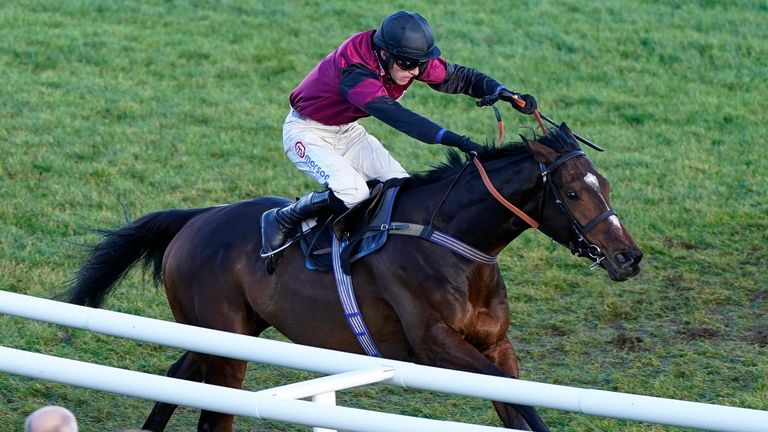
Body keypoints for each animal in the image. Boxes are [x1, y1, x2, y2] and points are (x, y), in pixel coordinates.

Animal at [64, 123, 640, 430]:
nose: (628, 257)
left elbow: (523, 407)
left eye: (606, 184)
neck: (451, 242)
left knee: (174, 379)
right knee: (213, 411)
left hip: (228, 331)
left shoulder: (497, 345)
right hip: (226, 343)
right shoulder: (434, 346)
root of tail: (197, 219)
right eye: (572, 193)